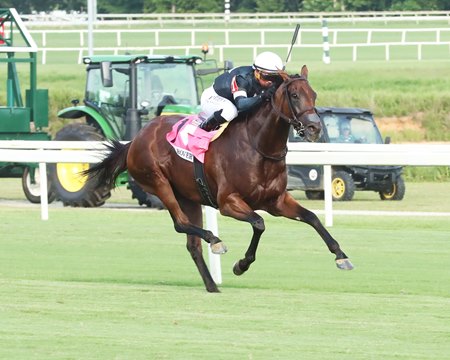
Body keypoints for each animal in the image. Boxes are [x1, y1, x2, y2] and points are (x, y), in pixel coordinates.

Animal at [87, 65, 356, 292]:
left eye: (314, 94)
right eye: (295, 95)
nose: (314, 128)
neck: (258, 146)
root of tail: (135, 139)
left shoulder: (277, 201)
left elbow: (312, 218)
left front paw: (341, 256)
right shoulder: (228, 202)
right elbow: (259, 223)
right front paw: (241, 264)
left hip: (188, 196)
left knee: (191, 244)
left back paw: (212, 285)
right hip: (158, 183)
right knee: (180, 223)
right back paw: (215, 240)